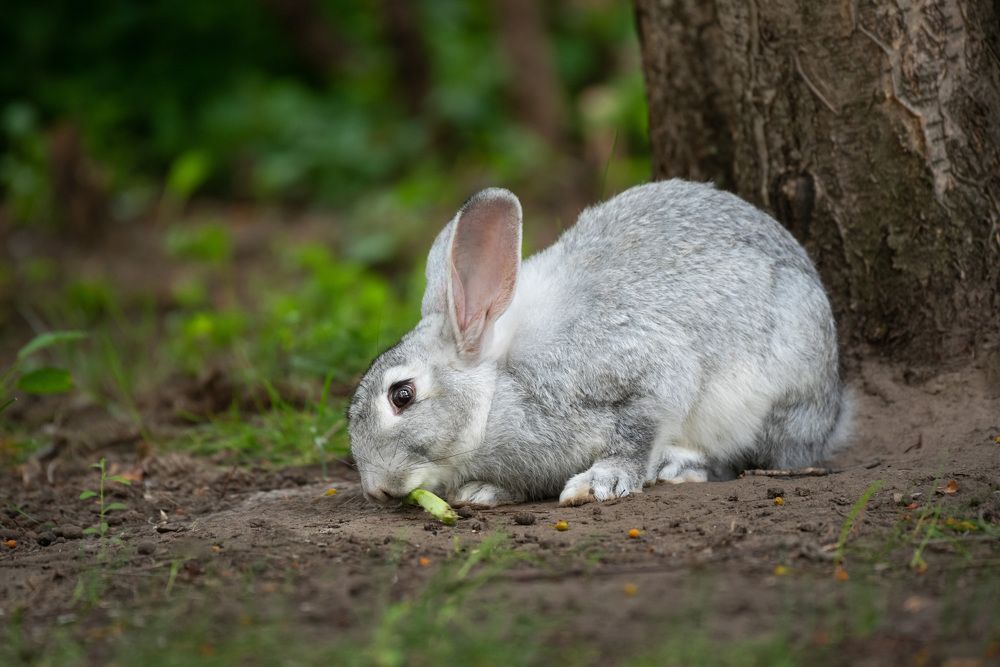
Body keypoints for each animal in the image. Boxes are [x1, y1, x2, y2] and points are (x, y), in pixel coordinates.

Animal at [347, 180, 851, 508]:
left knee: (751, 458)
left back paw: (679, 468)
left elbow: (638, 431)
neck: (495, 392)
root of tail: (833, 410)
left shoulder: (640, 373)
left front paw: (599, 484)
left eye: (402, 395)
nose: (375, 488)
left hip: (774, 398)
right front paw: (483, 493)